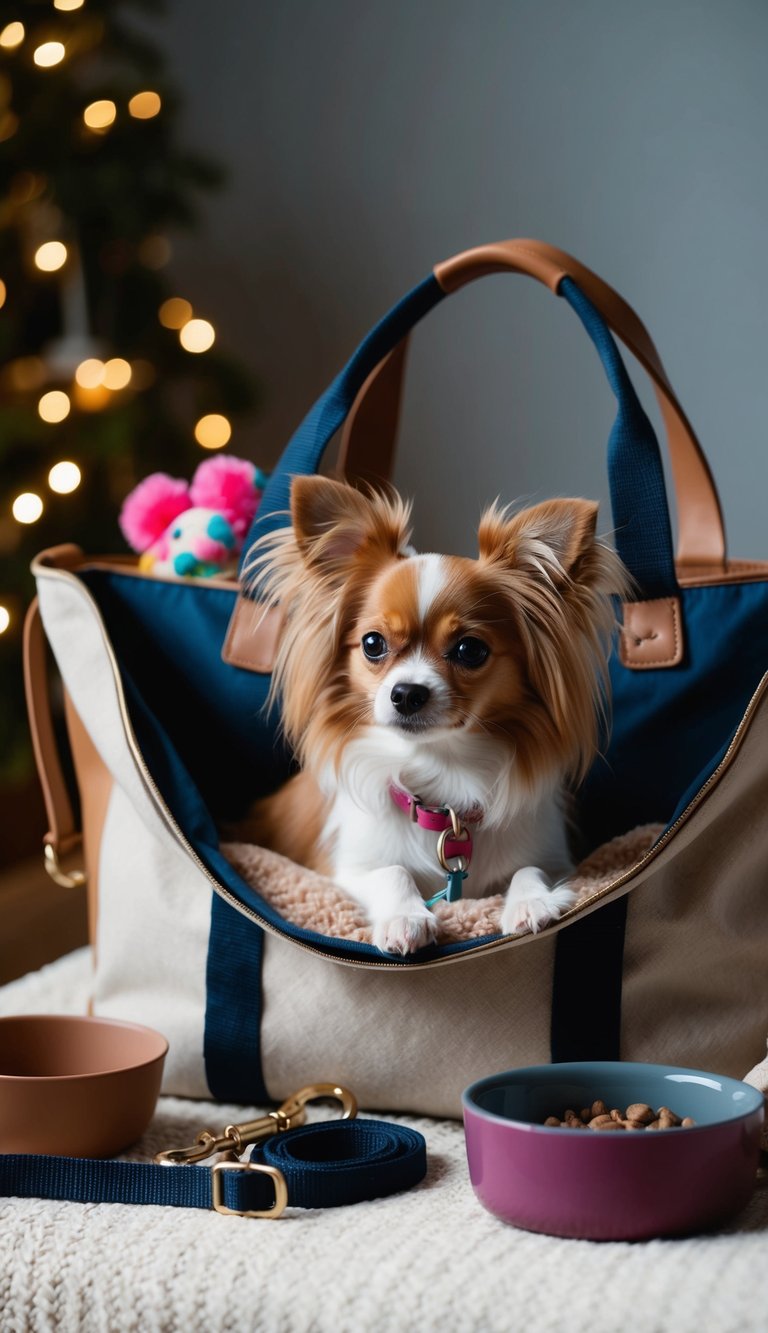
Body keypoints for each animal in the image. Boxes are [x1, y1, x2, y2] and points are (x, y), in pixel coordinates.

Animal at [238, 475, 629, 955]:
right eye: (372, 643)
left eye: (470, 650)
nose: (407, 693)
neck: (443, 769)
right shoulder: (341, 872)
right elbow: (392, 871)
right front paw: (405, 917)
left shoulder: (556, 859)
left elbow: (529, 869)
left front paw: (531, 902)